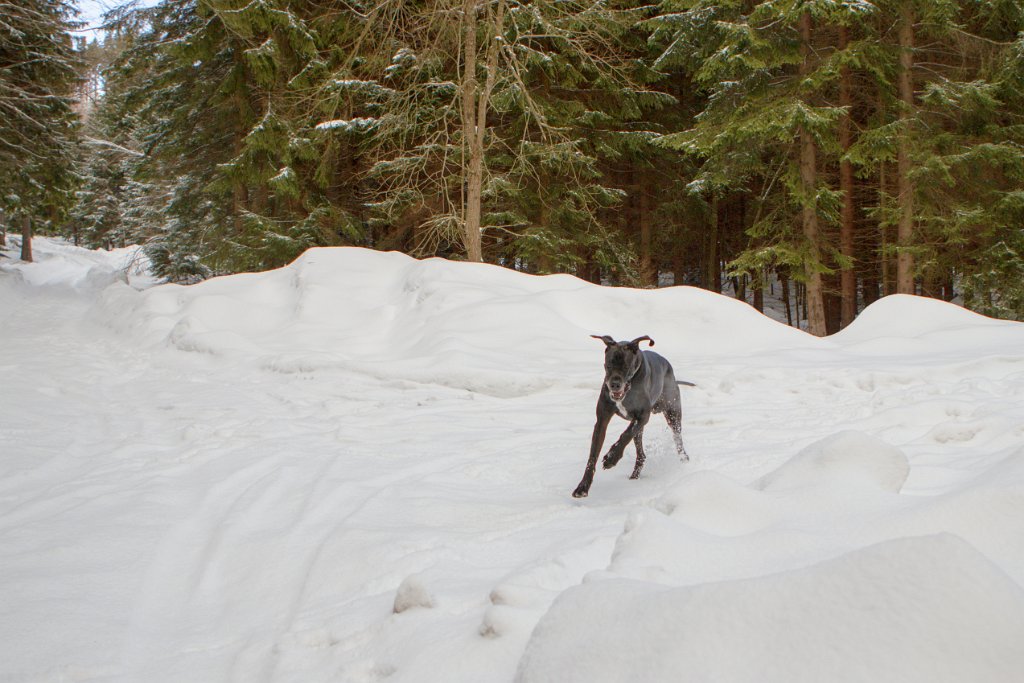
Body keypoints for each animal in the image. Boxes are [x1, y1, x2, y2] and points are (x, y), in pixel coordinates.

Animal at [573, 335, 692, 499]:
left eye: (626, 367)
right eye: (608, 365)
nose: (614, 384)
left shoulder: (643, 416)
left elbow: (625, 434)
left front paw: (611, 458)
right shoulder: (602, 421)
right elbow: (593, 455)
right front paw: (583, 487)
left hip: (672, 413)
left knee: (678, 440)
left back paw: (684, 461)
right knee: (641, 454)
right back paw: (634, 478)